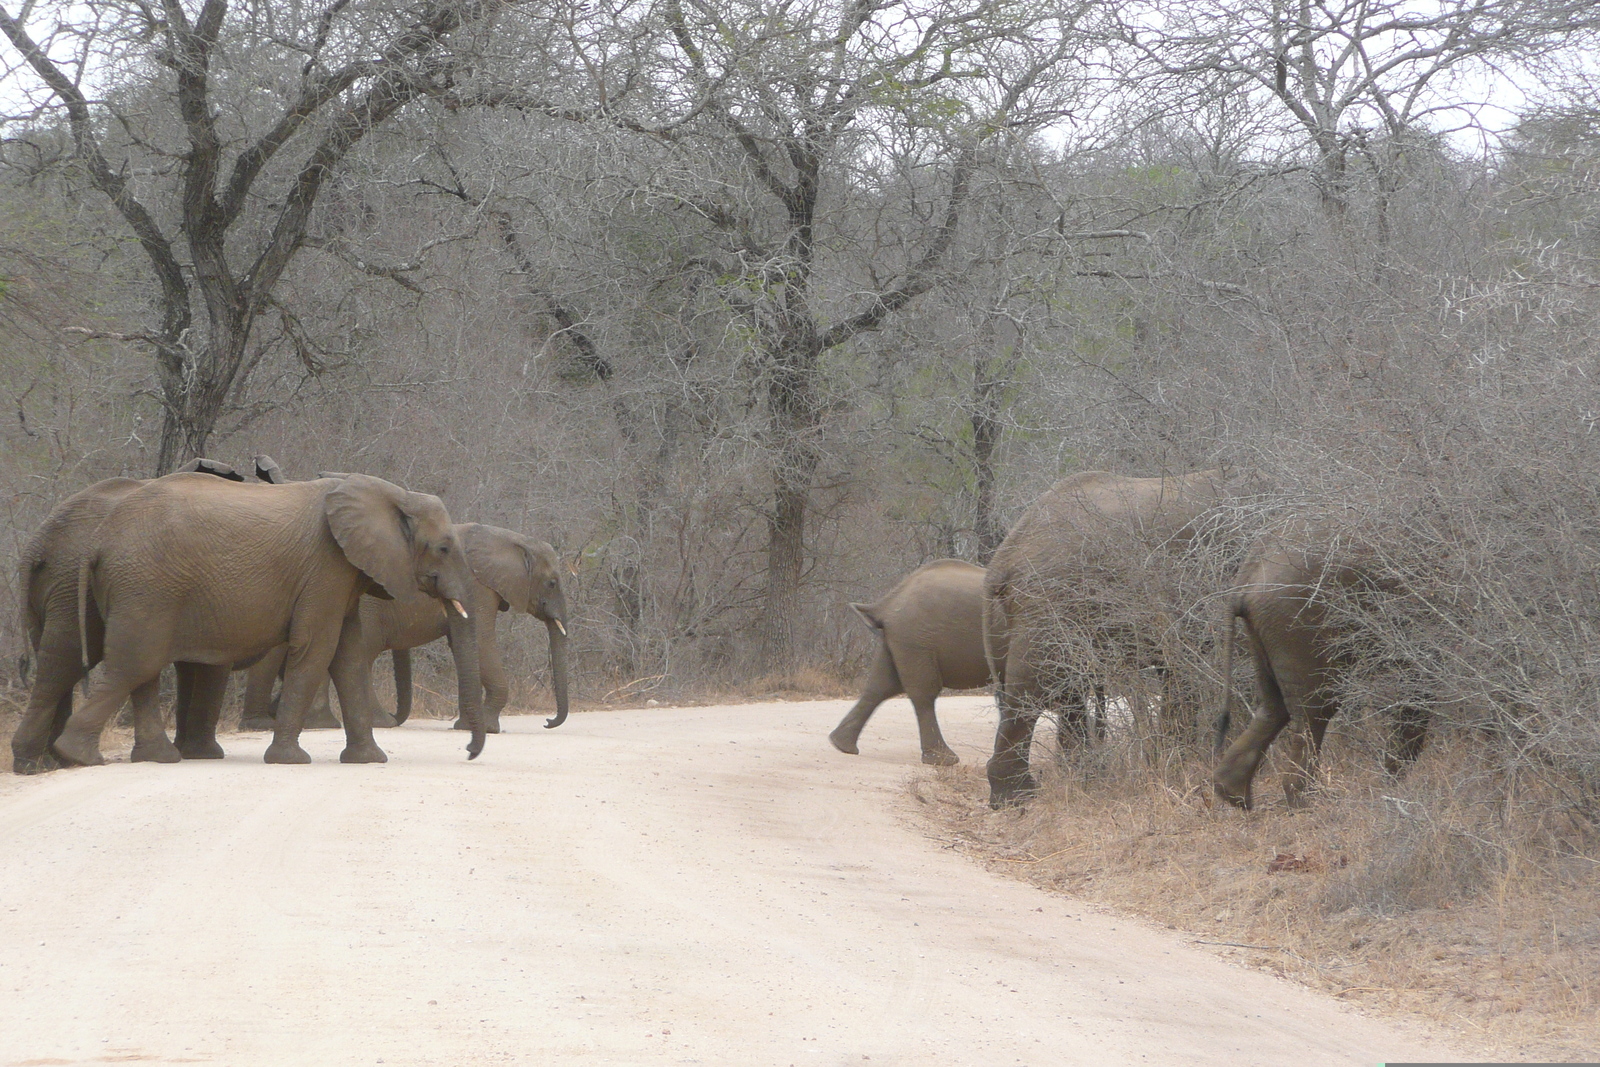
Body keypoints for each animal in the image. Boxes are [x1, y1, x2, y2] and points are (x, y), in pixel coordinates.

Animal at [12, 460, 248, 777]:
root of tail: (37, 546)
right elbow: (213, 664)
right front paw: (205, 755)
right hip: (72, 584)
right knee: (69, 659)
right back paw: (43, 763)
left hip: (54, 588)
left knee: (59, 659)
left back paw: (45, 762)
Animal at [53, 470, 483, 767]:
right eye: (444, 548)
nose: (466, 751)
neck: (393, 495)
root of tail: (99, 541)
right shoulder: (326, 567)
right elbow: (316, 649)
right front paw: (290, 761)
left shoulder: (342, 575)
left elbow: (347, 656)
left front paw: (369, 761)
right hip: (147, 586)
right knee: (136, 662)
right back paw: (77, 756)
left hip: (142, 589)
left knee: (142, 667)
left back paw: (154, 758)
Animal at [825, 563, 985, 764]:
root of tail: (886, 604)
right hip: (915, 638)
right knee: (922, 691)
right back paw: (943, 760)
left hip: (900, 638)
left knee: (881, 686)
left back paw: (841, 745)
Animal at [979, 470, 1228, 809]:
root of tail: (1003, 561)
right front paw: (1181, 764)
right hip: (1047, 606)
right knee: (1032, 692)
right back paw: (1018, 796)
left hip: (1006, 621)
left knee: (1053, 691)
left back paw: (1082, 777)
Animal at [1203, 518, 1433, 809]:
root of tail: (1245, 578)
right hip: (1300, 621)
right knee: (1316, 708)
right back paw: (1307, 802)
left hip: (1266, 627)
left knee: (1274, 706)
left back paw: (1234, 795)